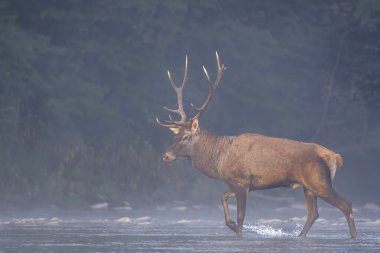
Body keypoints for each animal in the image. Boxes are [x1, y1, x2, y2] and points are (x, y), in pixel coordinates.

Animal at [155, 52, 356, 238]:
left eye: (186, 137)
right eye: (175, 135)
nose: (166, 156)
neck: (219, 159)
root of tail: (334, 156)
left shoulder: (241, 181)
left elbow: (241, 217)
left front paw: (239, 233)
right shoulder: (237, 183)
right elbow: (222, 198)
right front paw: (231, 225)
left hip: (319, 181)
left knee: (346, 204)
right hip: (309, 187)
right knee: (313, 214)